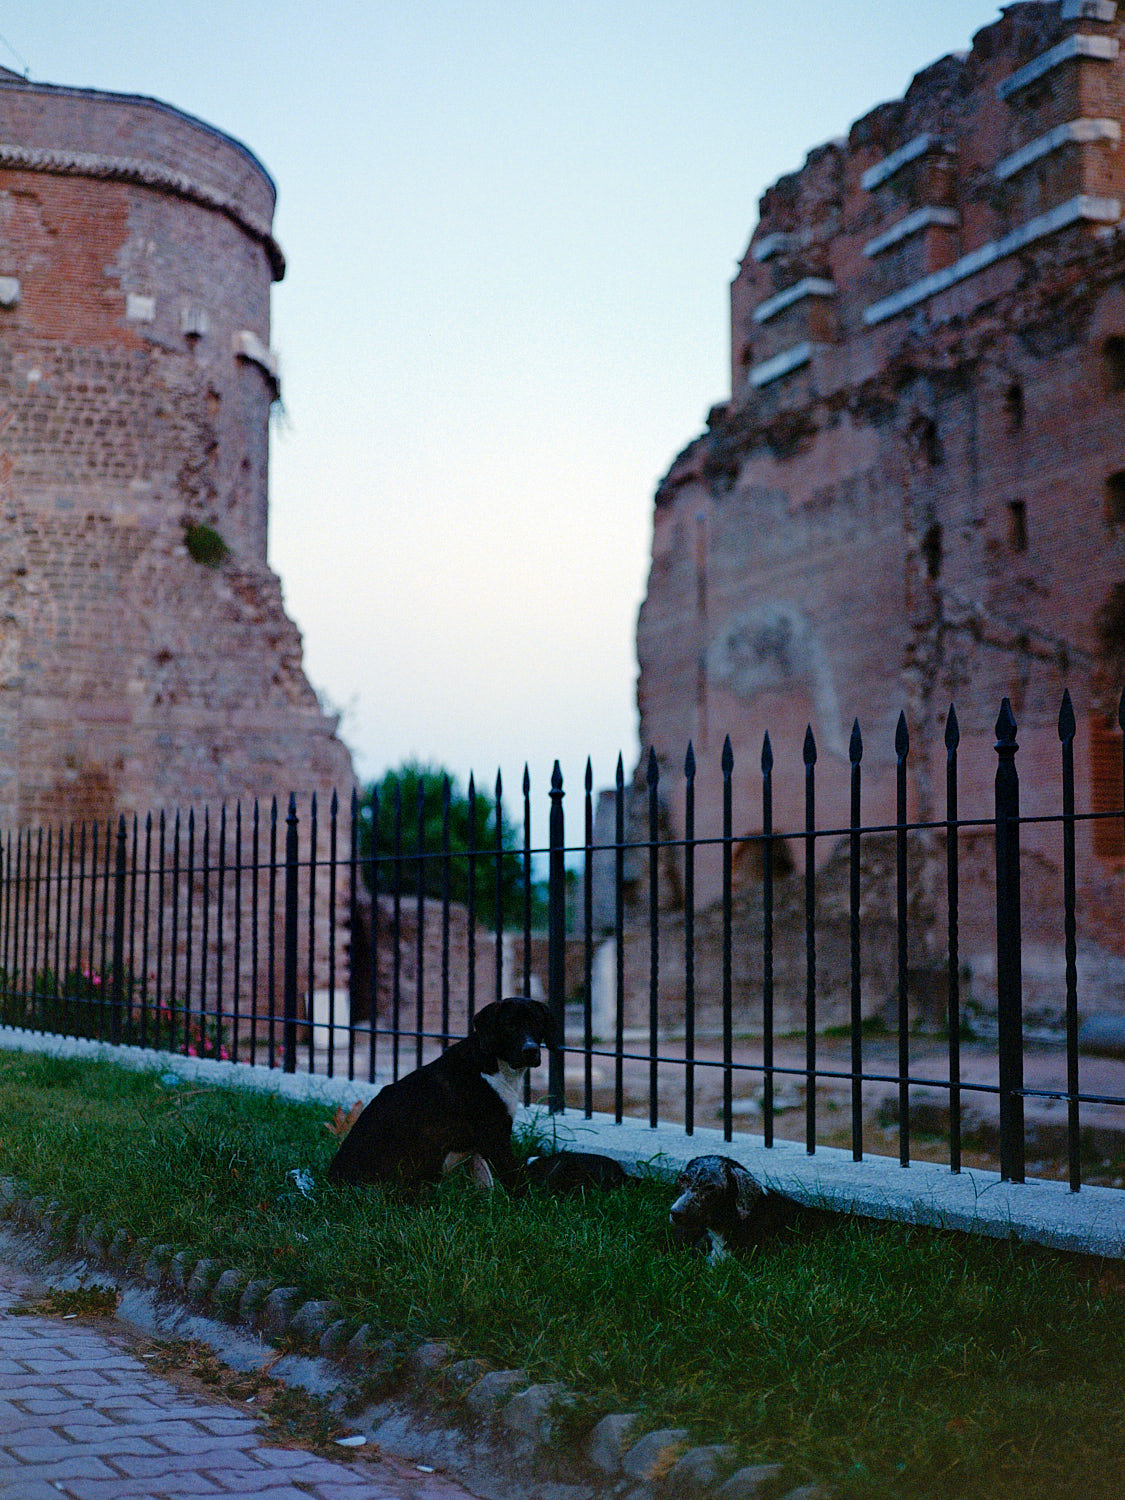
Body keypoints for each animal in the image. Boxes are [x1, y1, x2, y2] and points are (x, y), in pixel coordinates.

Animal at [328, 996, 561, 1194]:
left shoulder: (479, 1148)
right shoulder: (495, 1137)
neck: (494, 1065)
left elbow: (484, 1181)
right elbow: (515, 1179)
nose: (530, 1050)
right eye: (509, 1025)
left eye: (537, 1023)